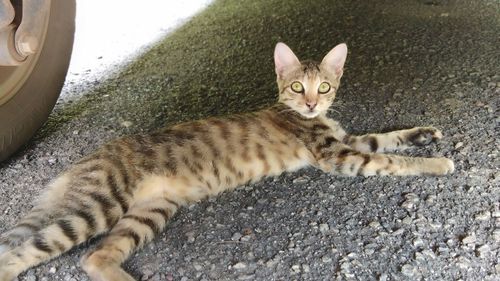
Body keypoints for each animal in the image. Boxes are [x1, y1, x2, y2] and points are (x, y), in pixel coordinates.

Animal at [0, 42, 456, 278]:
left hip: (150, 211)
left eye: (324, 86)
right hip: (99, 205)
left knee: (95, 257)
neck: (309, 118)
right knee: (23, 253)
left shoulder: (346, 141)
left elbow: (386, 139)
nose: (311, 103)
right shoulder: (337, 155)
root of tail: (88, 158)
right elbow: (393, 162)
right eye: (297, 87)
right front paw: (438, 164)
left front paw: (423, 135)